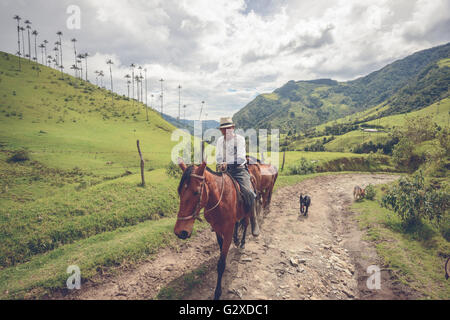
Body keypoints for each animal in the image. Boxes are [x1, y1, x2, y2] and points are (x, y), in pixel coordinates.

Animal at [175, 160, 255, 300]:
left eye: (196, 192)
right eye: (179, 191)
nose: (180, 232)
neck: (220, 199)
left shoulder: (227, 232)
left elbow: (221, 264)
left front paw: (217, 293)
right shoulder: (217, 228)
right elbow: (221, 248)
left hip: (247, 213)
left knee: (245, 225)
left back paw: (242, 243)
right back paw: (237, 240)